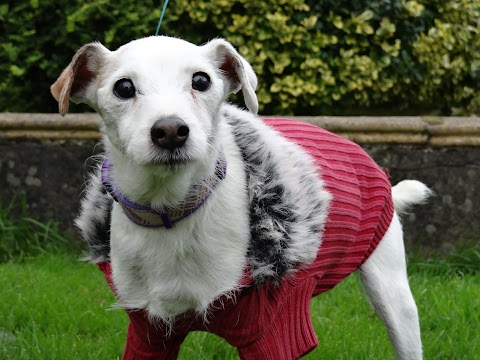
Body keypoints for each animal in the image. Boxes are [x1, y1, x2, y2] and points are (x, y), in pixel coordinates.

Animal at [50, 35, 430, 358]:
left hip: (393, 294)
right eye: (124, 87)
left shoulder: (272, 332)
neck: (172, 210)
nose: (171, 130)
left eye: (201, 81)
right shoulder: (150, 330)